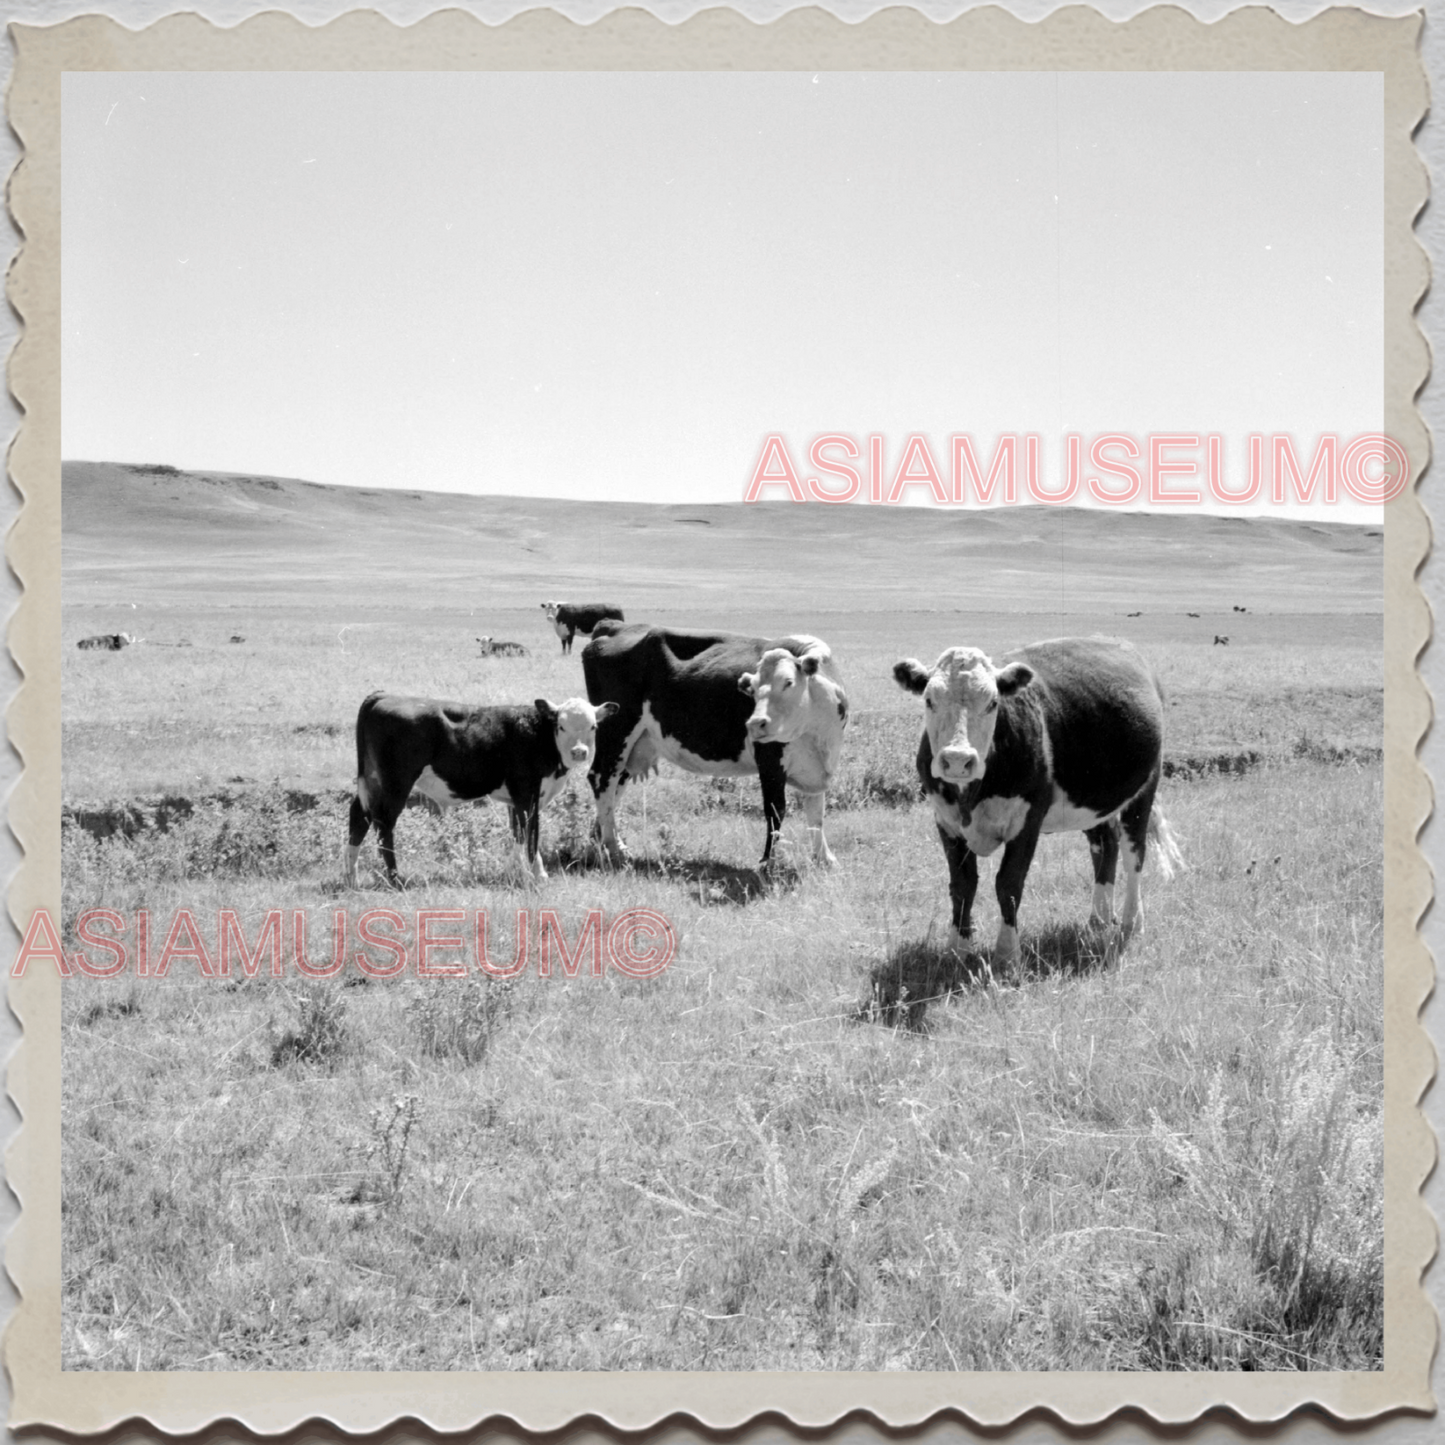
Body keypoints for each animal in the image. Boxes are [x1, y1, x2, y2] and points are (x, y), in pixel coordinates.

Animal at [352, 690, 624, 884]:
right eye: (562, 726)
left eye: (593, 726)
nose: (579, 752)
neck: (539, 734)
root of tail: (384, 695)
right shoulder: (527, 793)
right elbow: (531, 832)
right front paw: (535, 875)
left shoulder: (516, 799)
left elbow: (518, 832)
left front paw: (516, 872)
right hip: (396, 782)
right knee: (383, 823)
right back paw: (394, 878)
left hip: (372, 780)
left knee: (359, 816)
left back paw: (350, 874)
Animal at [578, 618, 843, 861]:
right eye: (752, 688)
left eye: (788, 682)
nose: (755, 723)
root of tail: (614, 625)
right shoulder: (770, 761)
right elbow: (776, 810)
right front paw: (767, 862)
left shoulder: (818, 769)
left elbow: (816, 814)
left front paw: (824, 858)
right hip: (616, 730)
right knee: (602, 778)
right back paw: (612, 846)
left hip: (635, 742)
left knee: (617, 782)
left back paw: (603, 841)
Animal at [890, 635, 1184, 965]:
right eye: (930, 700)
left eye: (992, 702)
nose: (957, 760)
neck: (971, 793)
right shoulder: (946, 821)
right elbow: (963, 884)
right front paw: (958, 948)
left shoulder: (1027, 820)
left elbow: (1008, 883)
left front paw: (1007, 953)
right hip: (1094, 800)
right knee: (1105, 846)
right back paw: (1098, 919)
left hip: (1145, 789)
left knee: (1134, 853)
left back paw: (1132, 922)